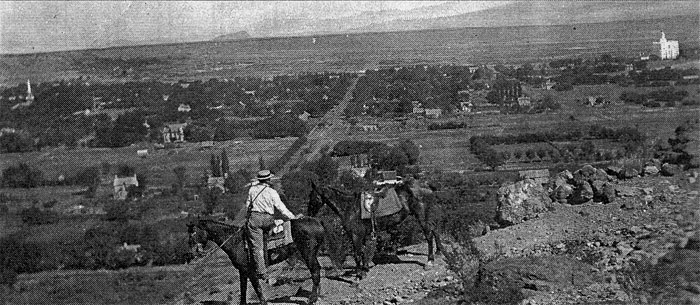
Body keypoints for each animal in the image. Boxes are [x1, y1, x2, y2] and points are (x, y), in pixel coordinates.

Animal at [187, 216, 326, 304]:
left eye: (194, 233)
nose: (192, 252)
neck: (236, 241)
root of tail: (318, 221)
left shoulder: (251, 271)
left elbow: (257, 287)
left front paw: (263, 302)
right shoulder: (242, 271)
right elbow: (243, 289)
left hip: (308, 254)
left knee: (315, 272)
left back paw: (312, 299)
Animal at [308, 179, 442, 280]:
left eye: (312, 196)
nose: (309, 213)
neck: (349, 207)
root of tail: (426, 186)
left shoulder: (356, 235)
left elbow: (357, 255)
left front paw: (359, 275)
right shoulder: (364, 235)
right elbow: (365, 253)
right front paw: (365, 269)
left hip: (421, 214)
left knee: (429, 235)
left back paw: (430, 262)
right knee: (435, 230)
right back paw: (439, 252)